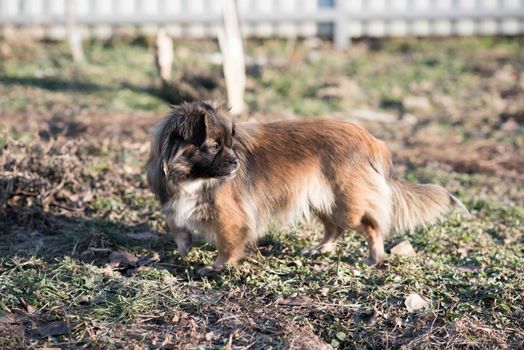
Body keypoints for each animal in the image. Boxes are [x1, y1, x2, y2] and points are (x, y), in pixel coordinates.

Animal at [146, 101, 466, 276]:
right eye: (214, 146)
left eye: (229, 144)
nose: (236, 162)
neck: (192, 177)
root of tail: (373, 141)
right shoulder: (175, 205)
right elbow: (178, 228)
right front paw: (182, 251)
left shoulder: (231, 219)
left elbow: (228, 244)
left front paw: (216, 267)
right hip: (321, 200)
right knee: (334, 228)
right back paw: (320, 249)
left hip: (346, 204)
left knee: (371, 226)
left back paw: (374, 257)